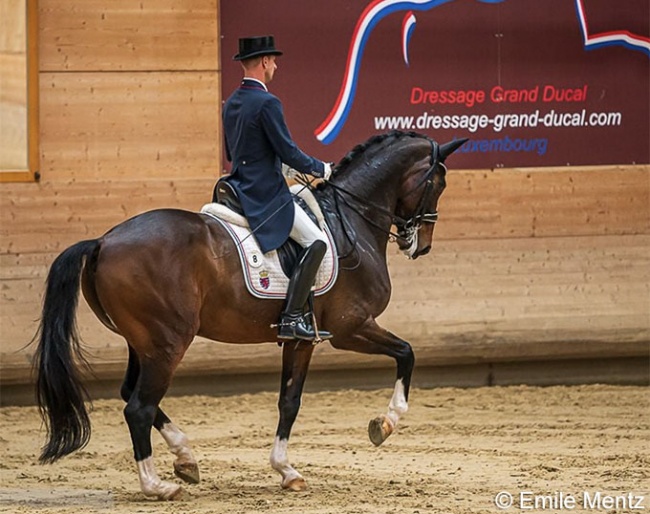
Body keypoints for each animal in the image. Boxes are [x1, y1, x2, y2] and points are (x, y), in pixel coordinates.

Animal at [35, 130, 464, 498]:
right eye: (439, 183)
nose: (420, 245)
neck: (350, 220)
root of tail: (103, 241)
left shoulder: (302, 339)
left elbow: (288, 401)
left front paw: (286, 471)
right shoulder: (350, 328)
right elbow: (406, 353)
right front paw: (385, 423)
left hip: (142, 342)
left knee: (132, 394)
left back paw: (185, 459)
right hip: (167, 342)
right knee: (138, 407)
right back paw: (157, 486)